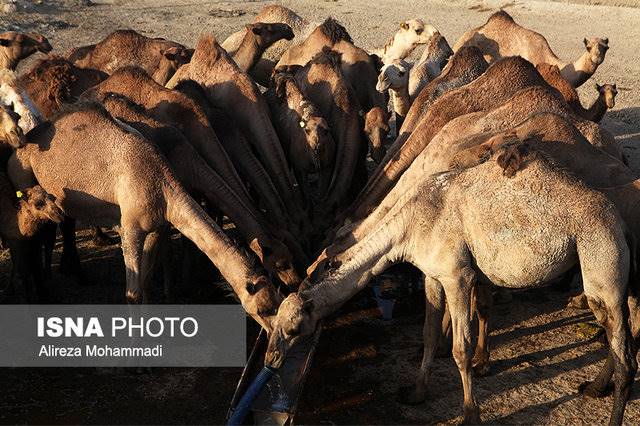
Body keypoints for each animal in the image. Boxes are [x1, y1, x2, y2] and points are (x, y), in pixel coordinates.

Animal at [6, 102, 282, 330]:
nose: (273, 332)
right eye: (263, 308)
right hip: (22, 178)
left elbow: (147, 279)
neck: (164, 187)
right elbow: (132, 294)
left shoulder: (157, 227)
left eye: (277, 301)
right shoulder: (130, 228)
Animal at [266, 70, 336, 203]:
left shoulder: (327, 167)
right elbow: (306, 196)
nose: (316, 145)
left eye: (326, 131)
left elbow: (321, 194)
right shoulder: (299, 169)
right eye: (306, 130)